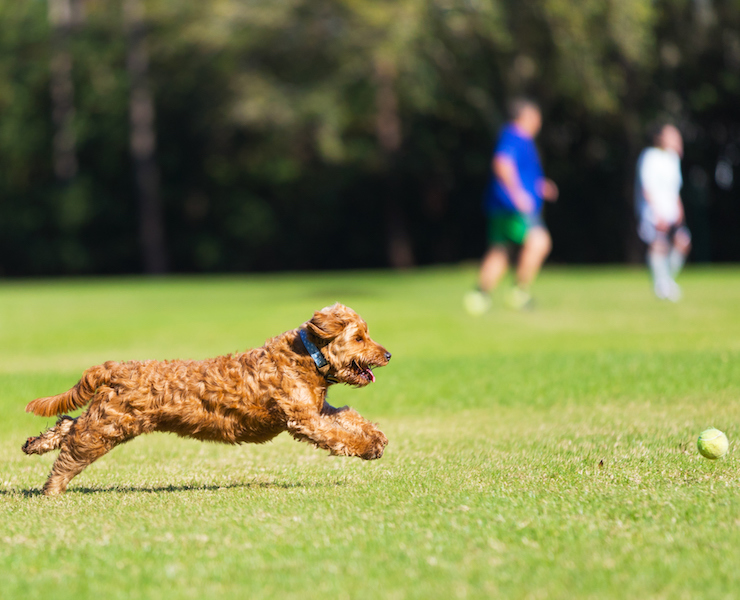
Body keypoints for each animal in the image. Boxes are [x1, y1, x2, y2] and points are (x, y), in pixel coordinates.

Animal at [21, 302, 394, 494]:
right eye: (360, 338)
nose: (388, 354)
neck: (306, 357)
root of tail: (114, 368)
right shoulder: (303, 419)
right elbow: (338, 435)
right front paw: (368, 447)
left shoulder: (317, 408)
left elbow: (347, 415)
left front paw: (376, 437)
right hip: (110, 425)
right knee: (72, 450)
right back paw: (52, 488)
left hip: (105, 418)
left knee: (67, 424)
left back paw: (35, 444)